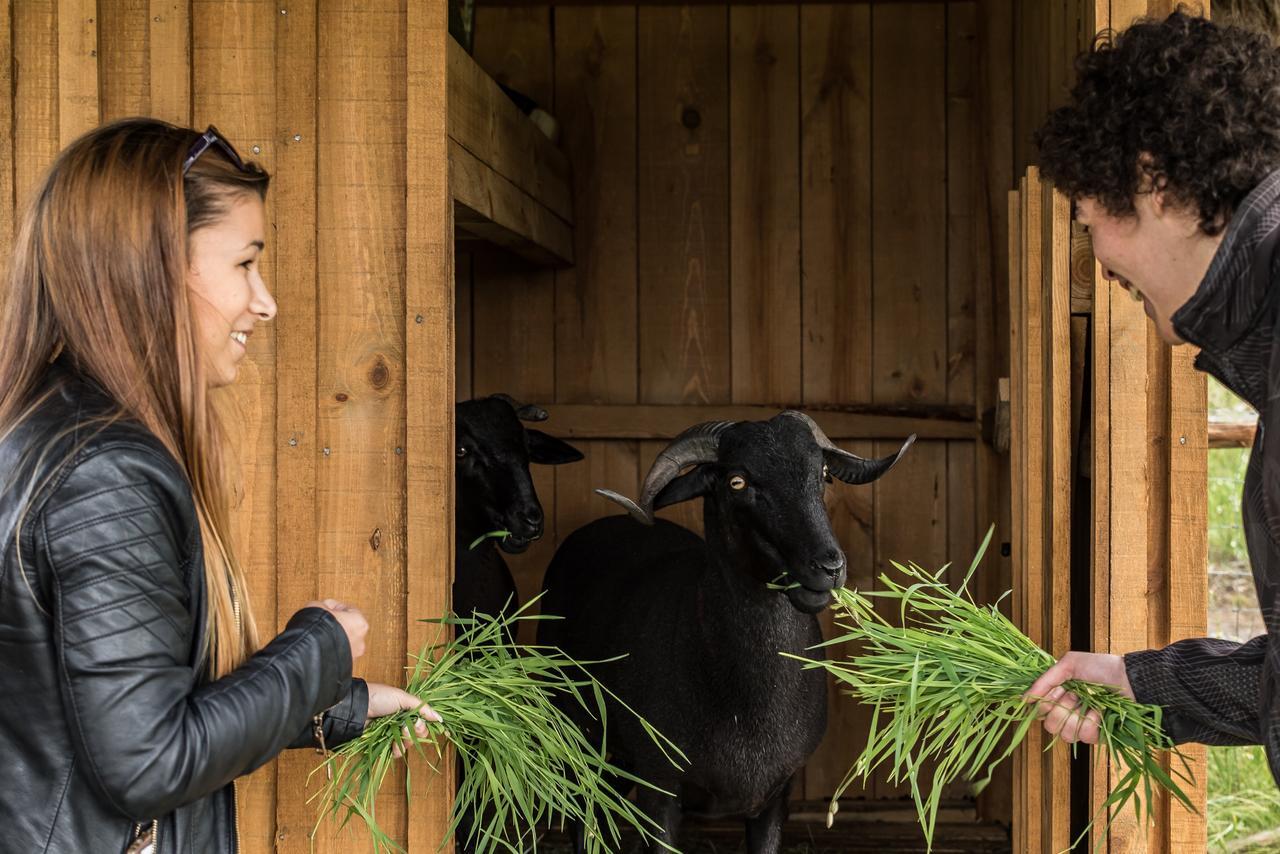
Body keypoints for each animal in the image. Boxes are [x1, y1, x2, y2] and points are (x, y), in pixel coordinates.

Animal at [535, 409, 916, 850]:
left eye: (822, 472)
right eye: (738, 481)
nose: (828, 566)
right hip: (572, 727)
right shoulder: (660, 786)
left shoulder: (776, 796)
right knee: (581, 803)